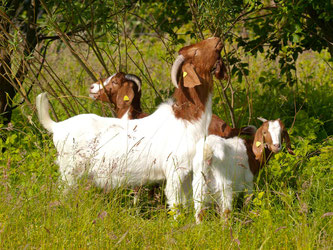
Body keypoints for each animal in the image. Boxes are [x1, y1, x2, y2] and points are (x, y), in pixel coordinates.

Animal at [36, 37, 227, 211]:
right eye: (195, 52)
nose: (217, 39)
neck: (186, 118)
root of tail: (57, 126)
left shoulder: (188, 173)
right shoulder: (174, 170)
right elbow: (176, 206)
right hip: (69, 171)